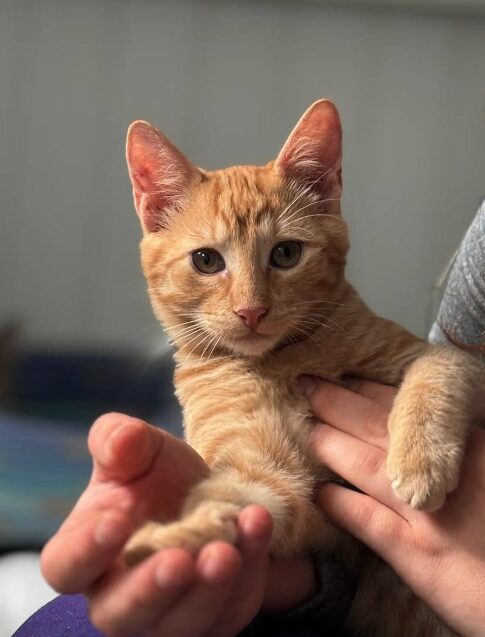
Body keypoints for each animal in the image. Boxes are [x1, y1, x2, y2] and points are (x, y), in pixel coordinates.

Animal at [122, 100, 480, 636]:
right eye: (206, 260)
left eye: (286, 253)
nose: (251, 311)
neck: (281, 364)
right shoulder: (272, 472)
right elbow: (243, 496)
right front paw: (175, 542)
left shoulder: (448, 357)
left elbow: (436, 374)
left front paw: (421, 462)